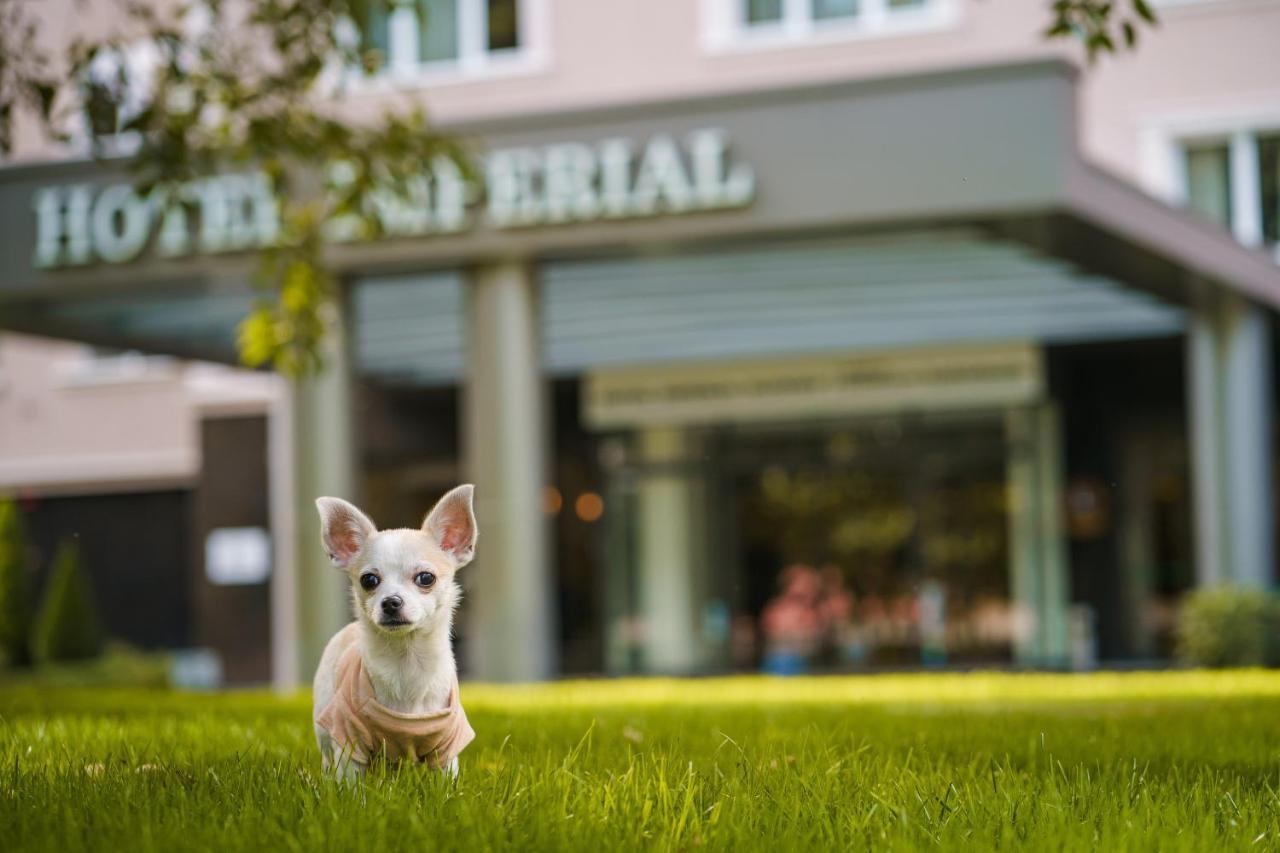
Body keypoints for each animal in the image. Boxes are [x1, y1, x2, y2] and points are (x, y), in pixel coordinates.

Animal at [312, 481, 478, 773]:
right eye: (368, 580)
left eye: (426, 578)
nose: (390, 602)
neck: (406, 660)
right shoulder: (348, 740)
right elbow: (350, 779)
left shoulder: (447, 747)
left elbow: (447, 779)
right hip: (325, 721)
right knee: (327, 759)